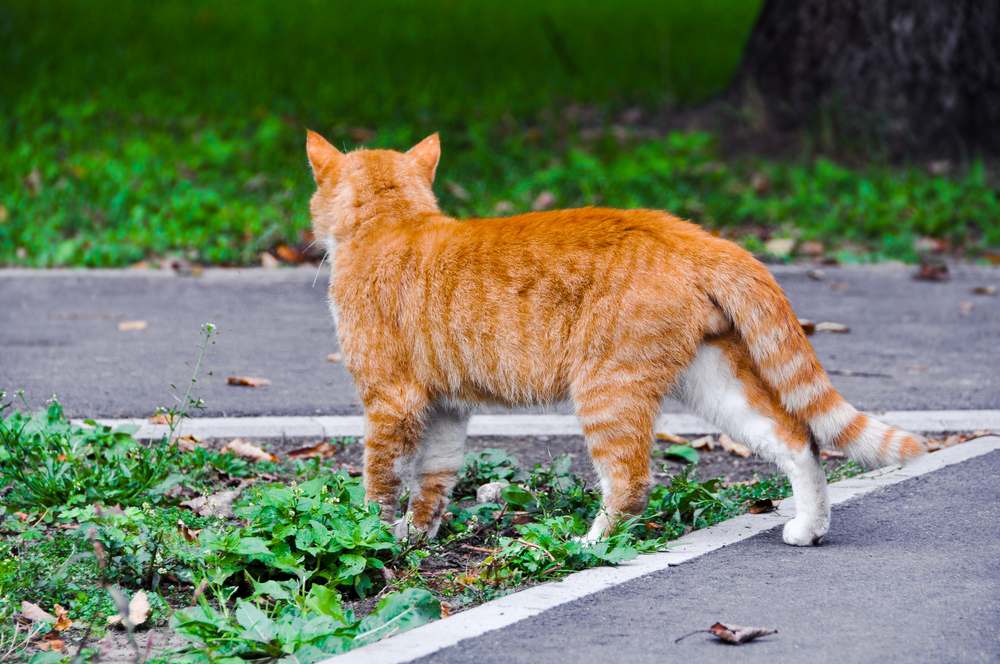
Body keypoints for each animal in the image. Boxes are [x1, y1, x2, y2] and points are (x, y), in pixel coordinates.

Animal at [306, 130, 928, 544]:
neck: (393, 223)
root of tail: (687, 232)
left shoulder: (391, 400)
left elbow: (380, 477)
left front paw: (372, 534)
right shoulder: (445, 407)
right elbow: (433, 479)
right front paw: (416, 536)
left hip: (607, 389)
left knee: (630, 480)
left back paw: (590, 543)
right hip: (714, 382)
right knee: (796, 438)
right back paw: (809, 527)